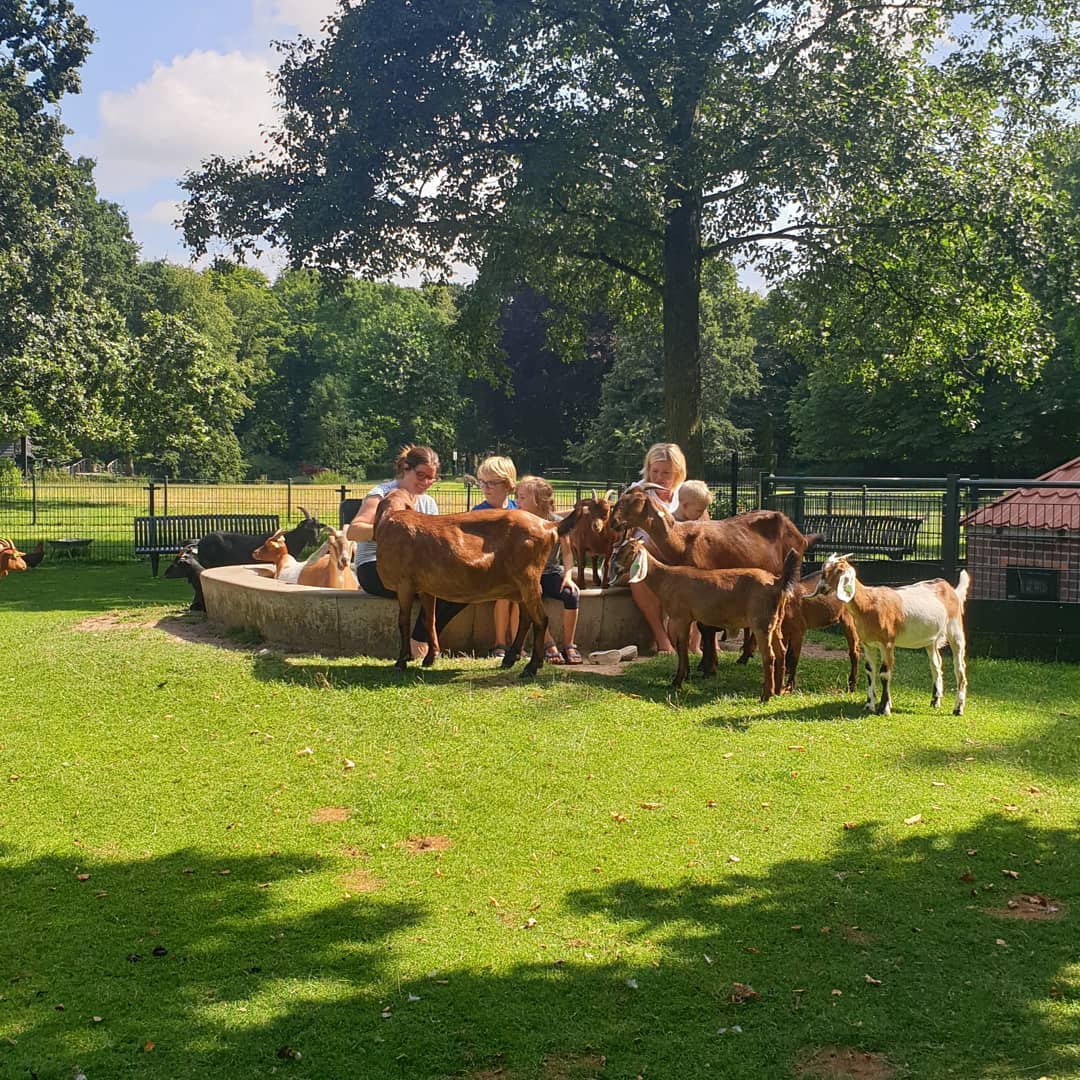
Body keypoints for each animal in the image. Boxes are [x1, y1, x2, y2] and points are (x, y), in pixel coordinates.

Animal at [373, 488, 578, 673]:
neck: (391, 519)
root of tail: (548, 526)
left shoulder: (404, 584)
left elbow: (403, 620)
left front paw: (401, 661)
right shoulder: (425, 587)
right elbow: (429, 620)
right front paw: (429, 658)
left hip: (528, 578)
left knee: (541, 620)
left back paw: (531, 667)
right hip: (521, 586)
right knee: (526, 619)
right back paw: (510, 659)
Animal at [609, 537, 803, 699]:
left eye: (626, 552)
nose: (616, 569)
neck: (665, 578)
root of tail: (777, 582)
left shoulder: (680, 617)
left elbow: (682, 646)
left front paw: (677, 681)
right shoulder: (690, 619)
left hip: (761, 623)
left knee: (769, 656)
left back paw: (766, 695)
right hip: (775, 622)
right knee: (781, 652)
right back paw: (778, 691)